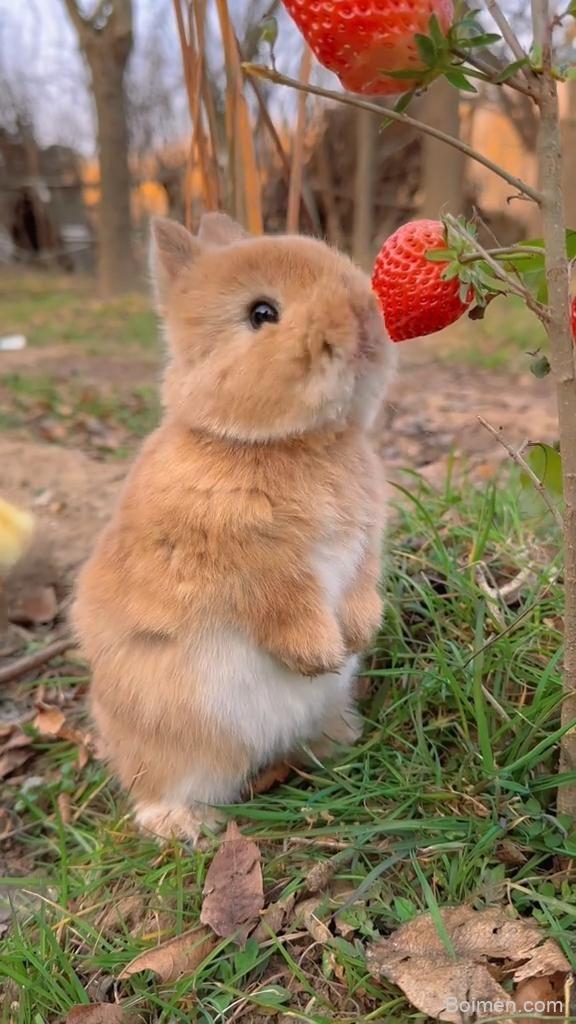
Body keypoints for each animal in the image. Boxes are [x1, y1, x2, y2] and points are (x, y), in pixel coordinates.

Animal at [71, 213, 396, 844]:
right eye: (261, 313)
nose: (366, 322)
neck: (289, 443)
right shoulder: (253, 568)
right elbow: (284, 607)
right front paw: (321, 654)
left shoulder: (364, 546)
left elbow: (361, 587)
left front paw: (358, 635)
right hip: (175, 738)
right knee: (164, 784)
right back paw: (183, 826)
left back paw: (340, 741)